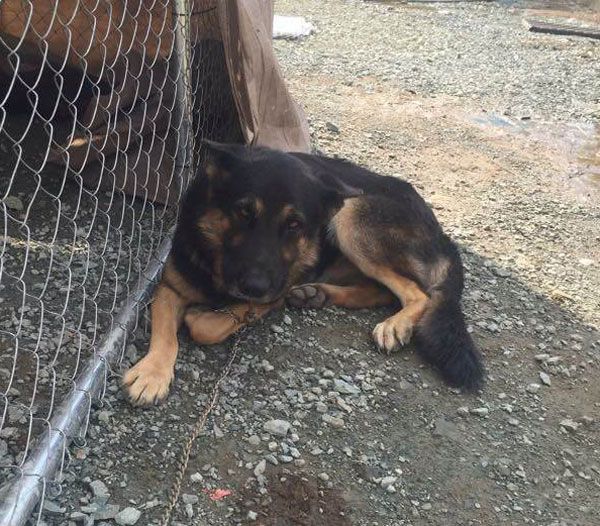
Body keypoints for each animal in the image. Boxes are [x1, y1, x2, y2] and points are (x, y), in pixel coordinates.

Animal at [123, 142, 482, 406]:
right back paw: (318, 293)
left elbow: (207, 327)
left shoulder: (274, 290)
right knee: (381, 290)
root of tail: (442, 234)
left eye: (294, 224)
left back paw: (394, 324)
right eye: (244, 212)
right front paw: (152, 372)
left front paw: (205, 317)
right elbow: (165, 334)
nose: (253, 286)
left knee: (417, 292)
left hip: (351, 217)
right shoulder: (168, 286)